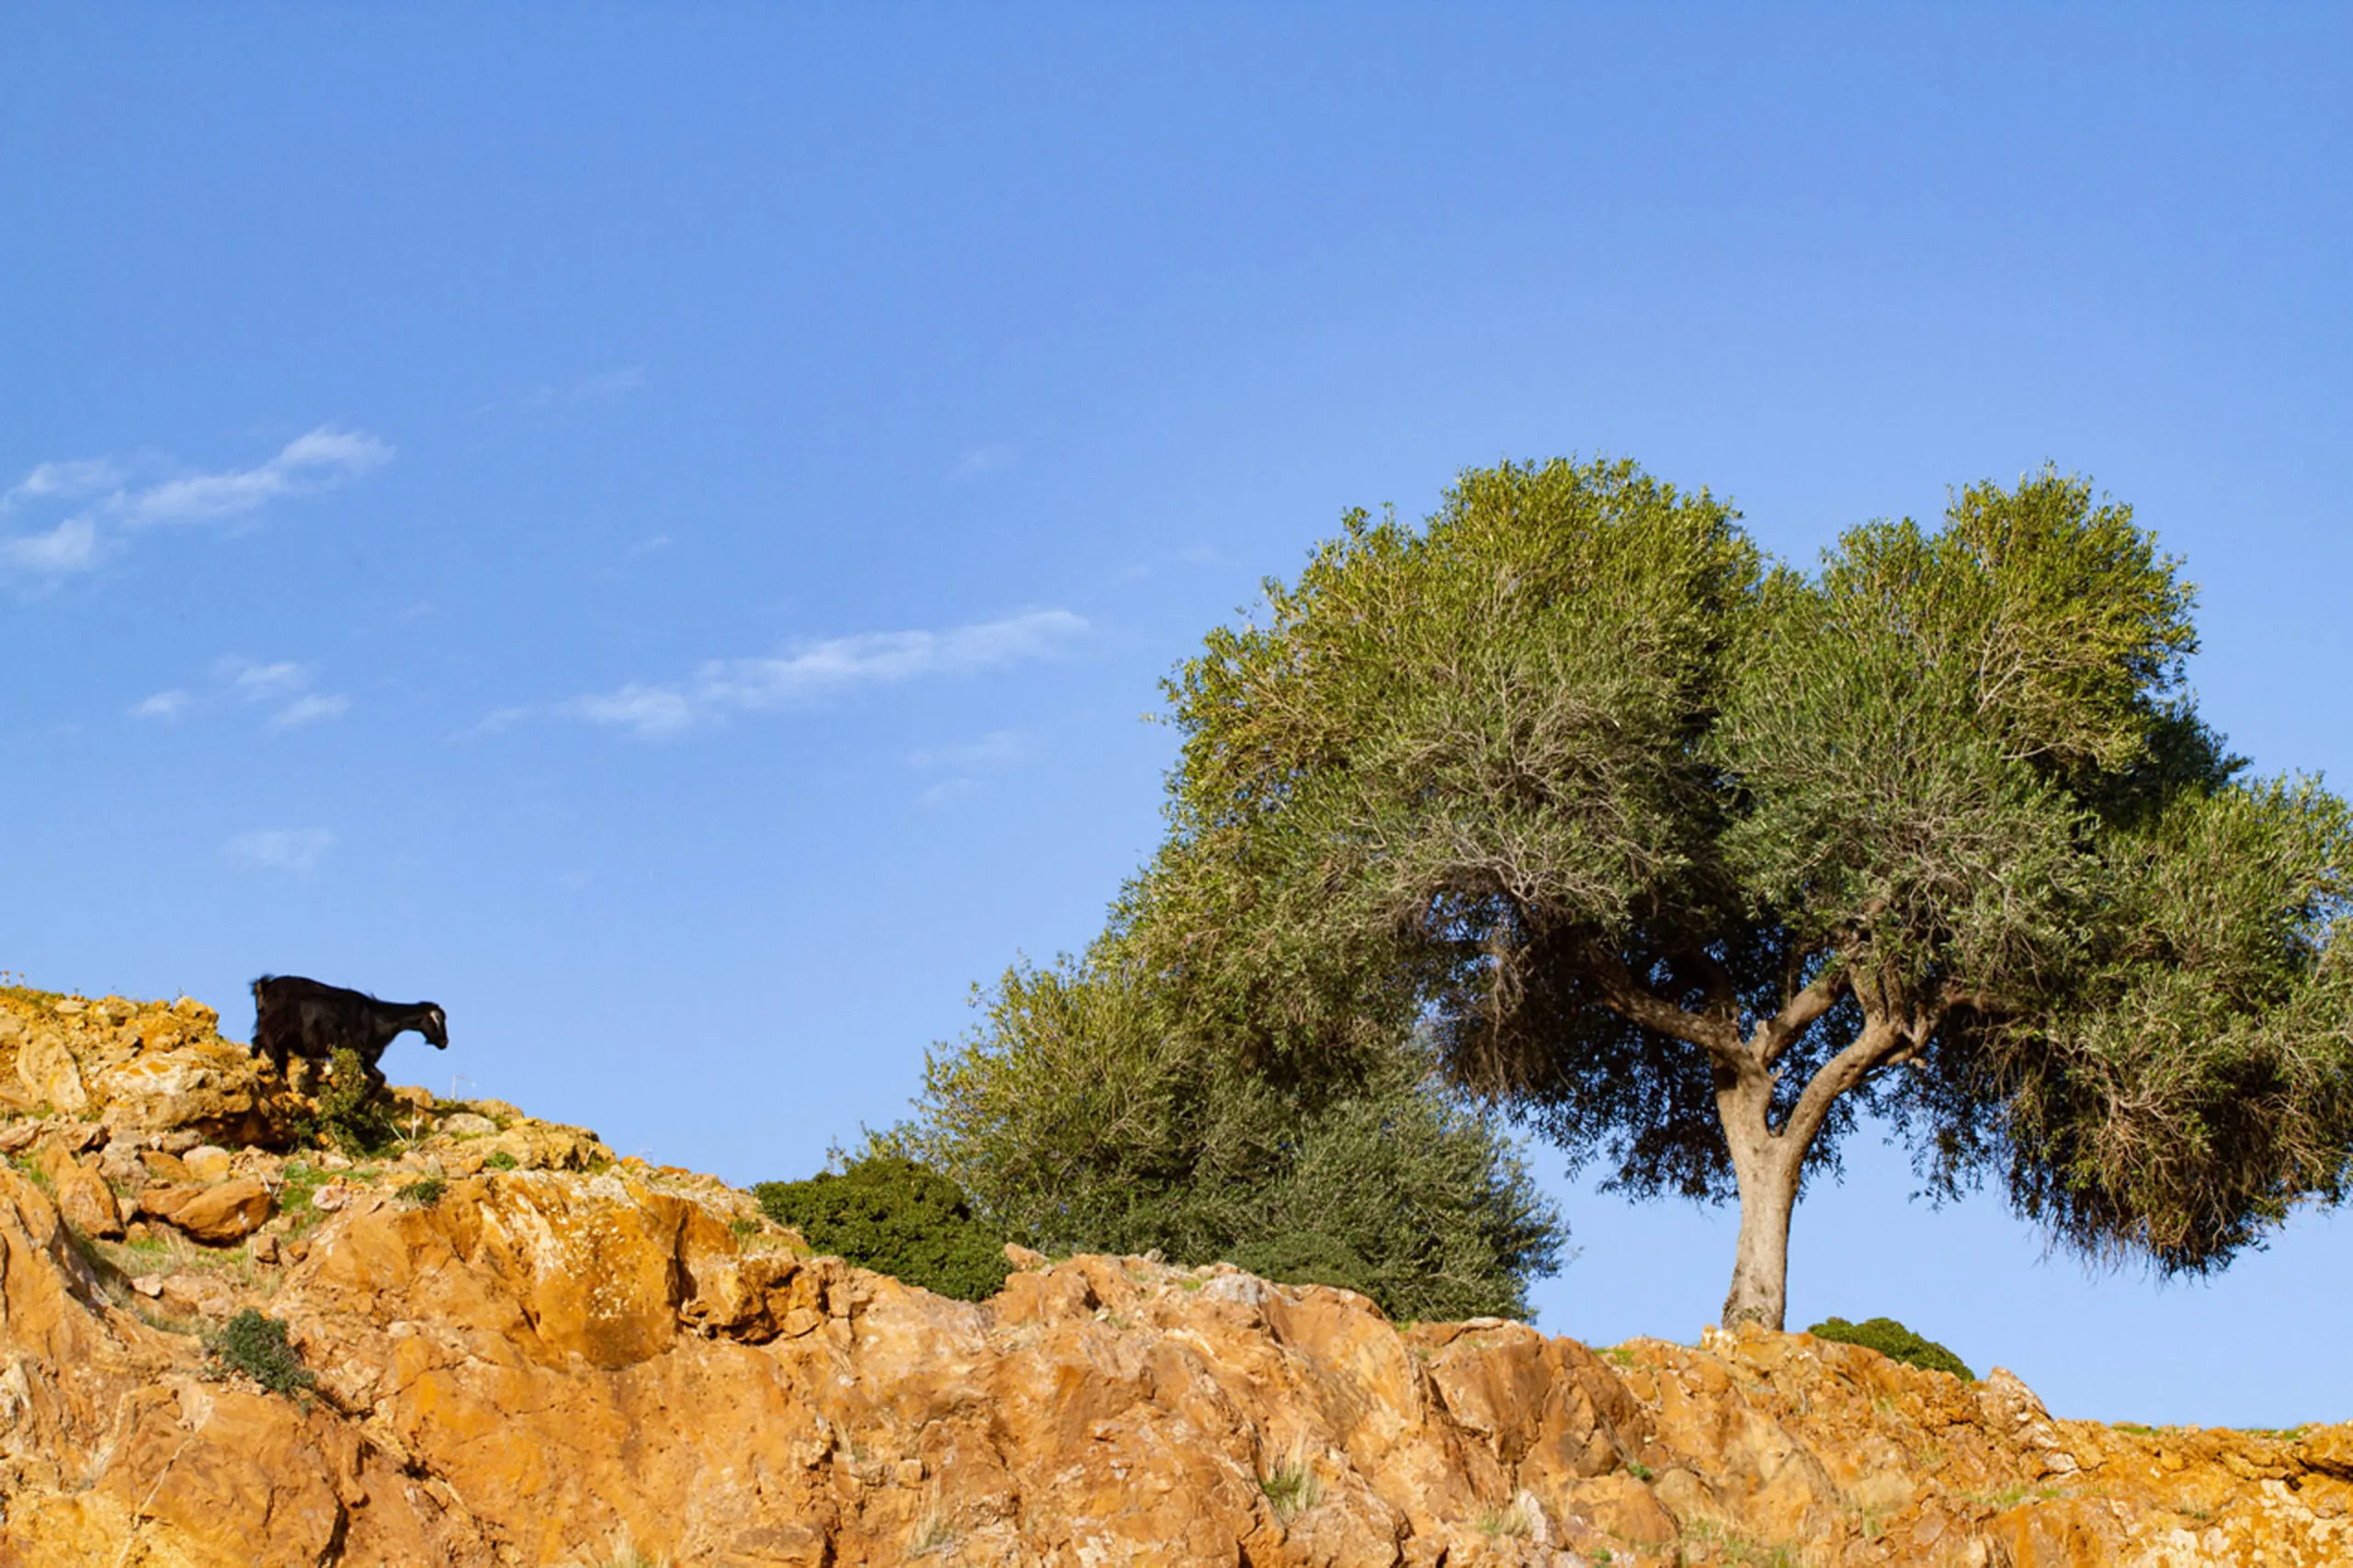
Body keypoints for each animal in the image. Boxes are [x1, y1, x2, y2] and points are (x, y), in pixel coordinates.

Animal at [251, 974, 447, 1094]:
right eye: (436, 1020)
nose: (445, 1042)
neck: (379, 1018)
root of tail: (266, 987)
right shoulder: (360, 1056)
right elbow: (379, 1079)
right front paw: (359, 1105)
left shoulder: (364, 1060)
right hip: (275, 1031)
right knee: (274, 1052)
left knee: (258, 1044)